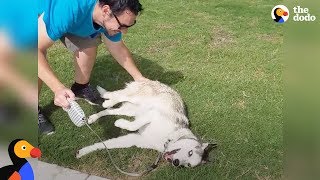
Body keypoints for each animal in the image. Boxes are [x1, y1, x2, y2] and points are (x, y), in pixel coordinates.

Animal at [76, 80, 215, 167]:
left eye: (188, 165)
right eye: (190, 152)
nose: (176, 163)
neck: (166, 140)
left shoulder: (134, 139)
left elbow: (104, 144)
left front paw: (83, 152)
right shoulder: (153, 114)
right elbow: (134, 125)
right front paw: (119, 123)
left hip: (130, 110)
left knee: (110, 110)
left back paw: (94, 117)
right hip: (137, 99)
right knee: (117, 96)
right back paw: (108, 101)